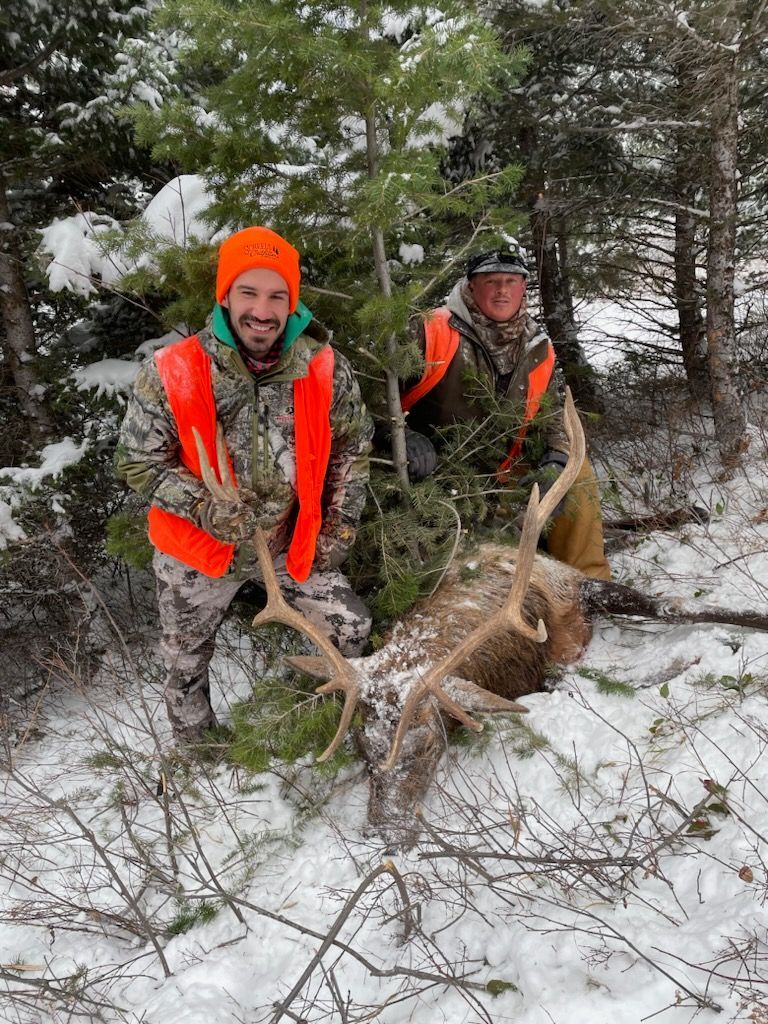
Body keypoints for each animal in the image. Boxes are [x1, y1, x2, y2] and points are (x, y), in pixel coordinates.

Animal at [194, 391, 768, 848]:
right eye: (362, 746)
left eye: (429, 741)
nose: (385, 833)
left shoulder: (574, 590)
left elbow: (675, 609)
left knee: (620, 528)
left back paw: (689, 511)